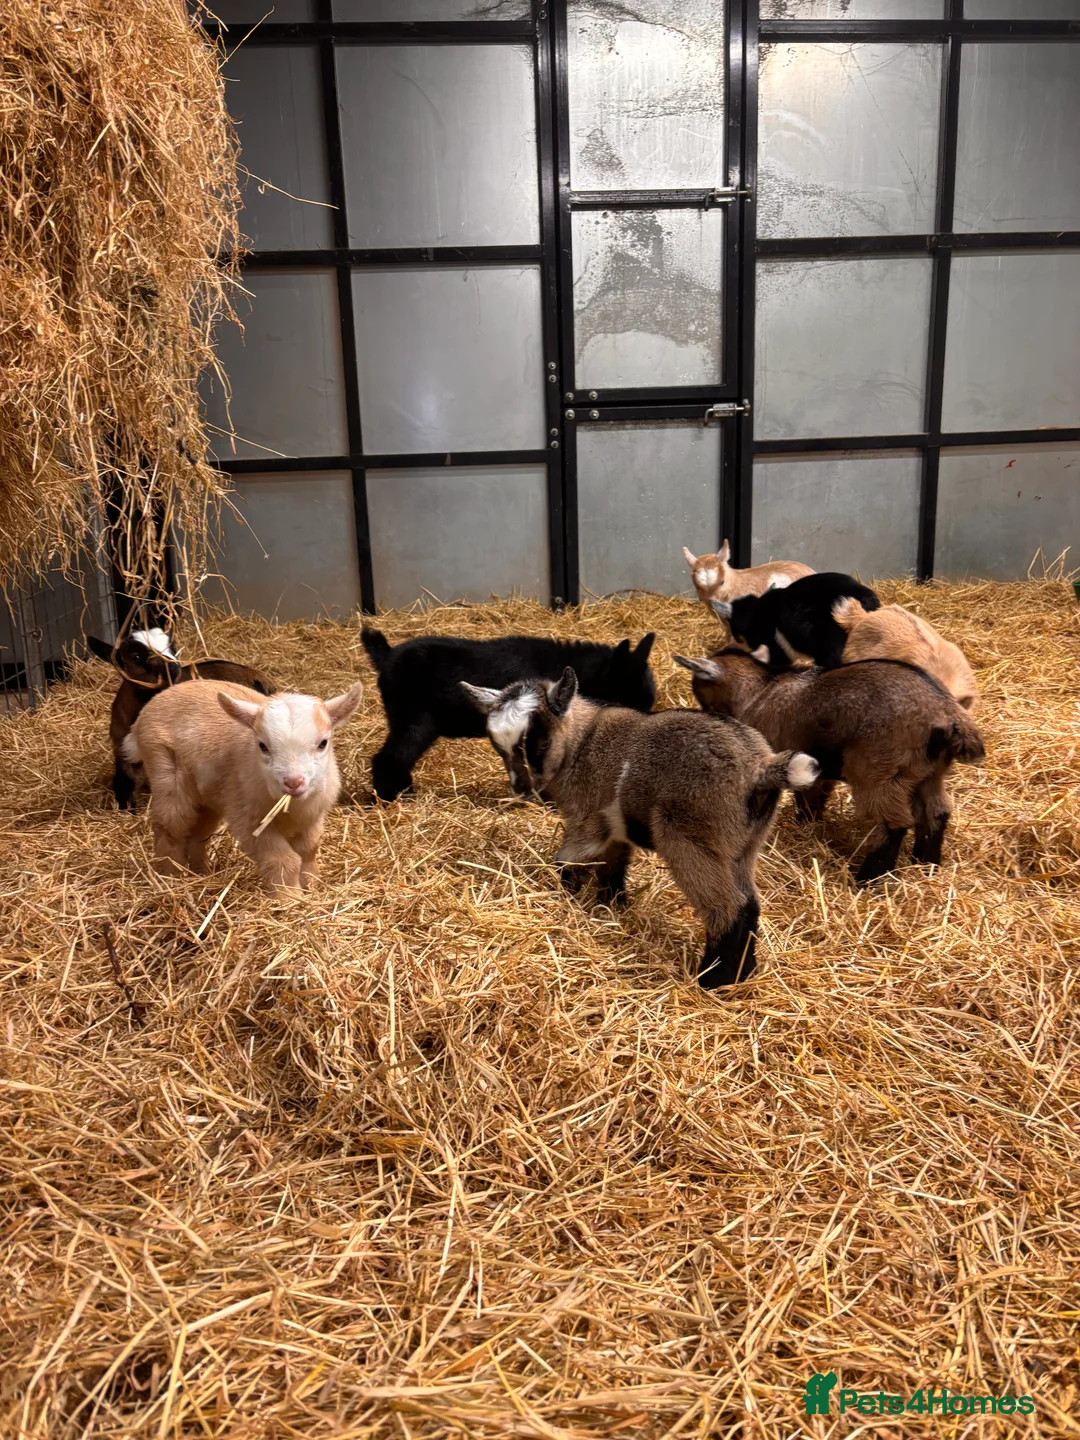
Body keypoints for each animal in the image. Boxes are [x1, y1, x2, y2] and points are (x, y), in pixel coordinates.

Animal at [122, 679, 364, 892]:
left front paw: (313, 886)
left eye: (323, 743)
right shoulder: (249, 822)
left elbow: (309, 849)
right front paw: (290, 899)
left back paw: (200, 872)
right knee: (170, 828)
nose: (293, 782)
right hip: (165, 769)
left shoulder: (312, 818)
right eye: (262, 746)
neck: (291, 807)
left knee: (198, 833)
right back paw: (170, 876)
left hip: (208, 797)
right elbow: (283, 860)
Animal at [463, 668, 821, 987]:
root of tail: (761, 769)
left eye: (540, 743)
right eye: (498, 747)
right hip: (741, 845)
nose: (522, 788)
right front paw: (612, 906)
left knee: (730, 906)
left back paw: (713, 980)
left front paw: (569, 897)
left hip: (689, 837)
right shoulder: (613, 828)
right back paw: (742, 973)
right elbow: (614, 865)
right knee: (750, 902)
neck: (582, 743)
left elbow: (569, 859)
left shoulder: (587, 819)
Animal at [675, 649, 984, 884]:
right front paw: (807, 825)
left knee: (892, 824)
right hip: (927, 773)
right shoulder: (816, 766)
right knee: (936, 813)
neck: (761, 689)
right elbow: (813, 799)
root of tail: (947, 713)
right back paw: (926, 865)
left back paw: (868, 881)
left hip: (878, 771)